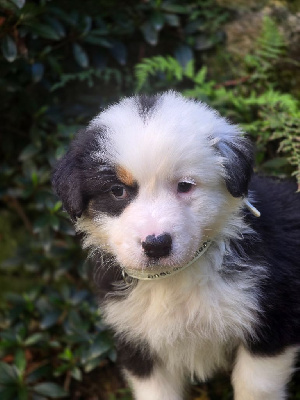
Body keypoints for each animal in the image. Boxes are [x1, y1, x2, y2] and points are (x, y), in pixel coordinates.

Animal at [52, 91, 298, 400]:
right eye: (117, 191)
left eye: (184, 185)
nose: (156, 244)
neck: (172, 279)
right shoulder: (139, 341)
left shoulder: (272, 320)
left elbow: (256, 387)